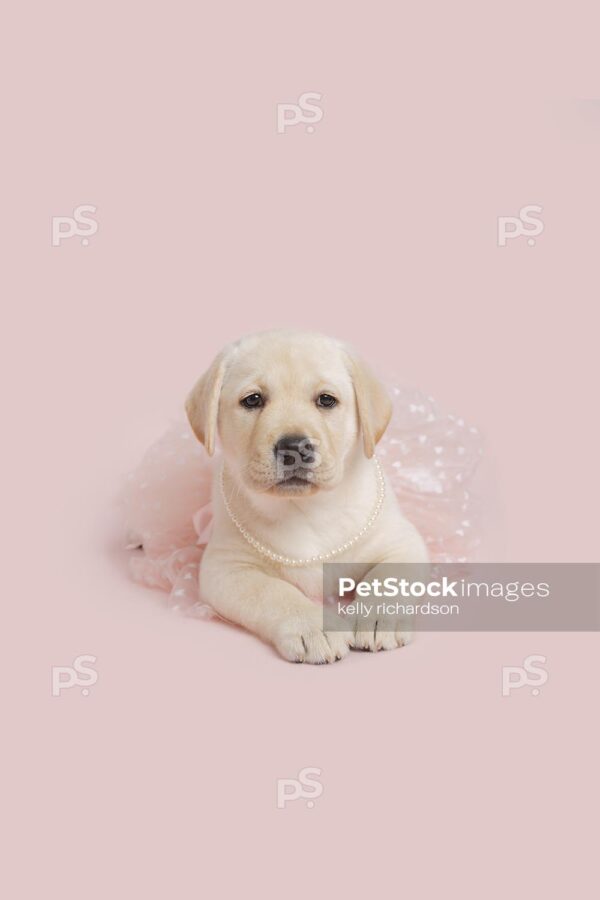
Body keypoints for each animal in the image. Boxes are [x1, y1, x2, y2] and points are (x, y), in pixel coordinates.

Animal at [185, 330, 424, 660]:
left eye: (326, 400)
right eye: (253, 400)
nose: (294, 448)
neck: (304, 508)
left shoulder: (402, 543)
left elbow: (387, 579)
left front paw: (376, 616)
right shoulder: (226, 568)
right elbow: (273, 591)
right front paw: (313, 626)